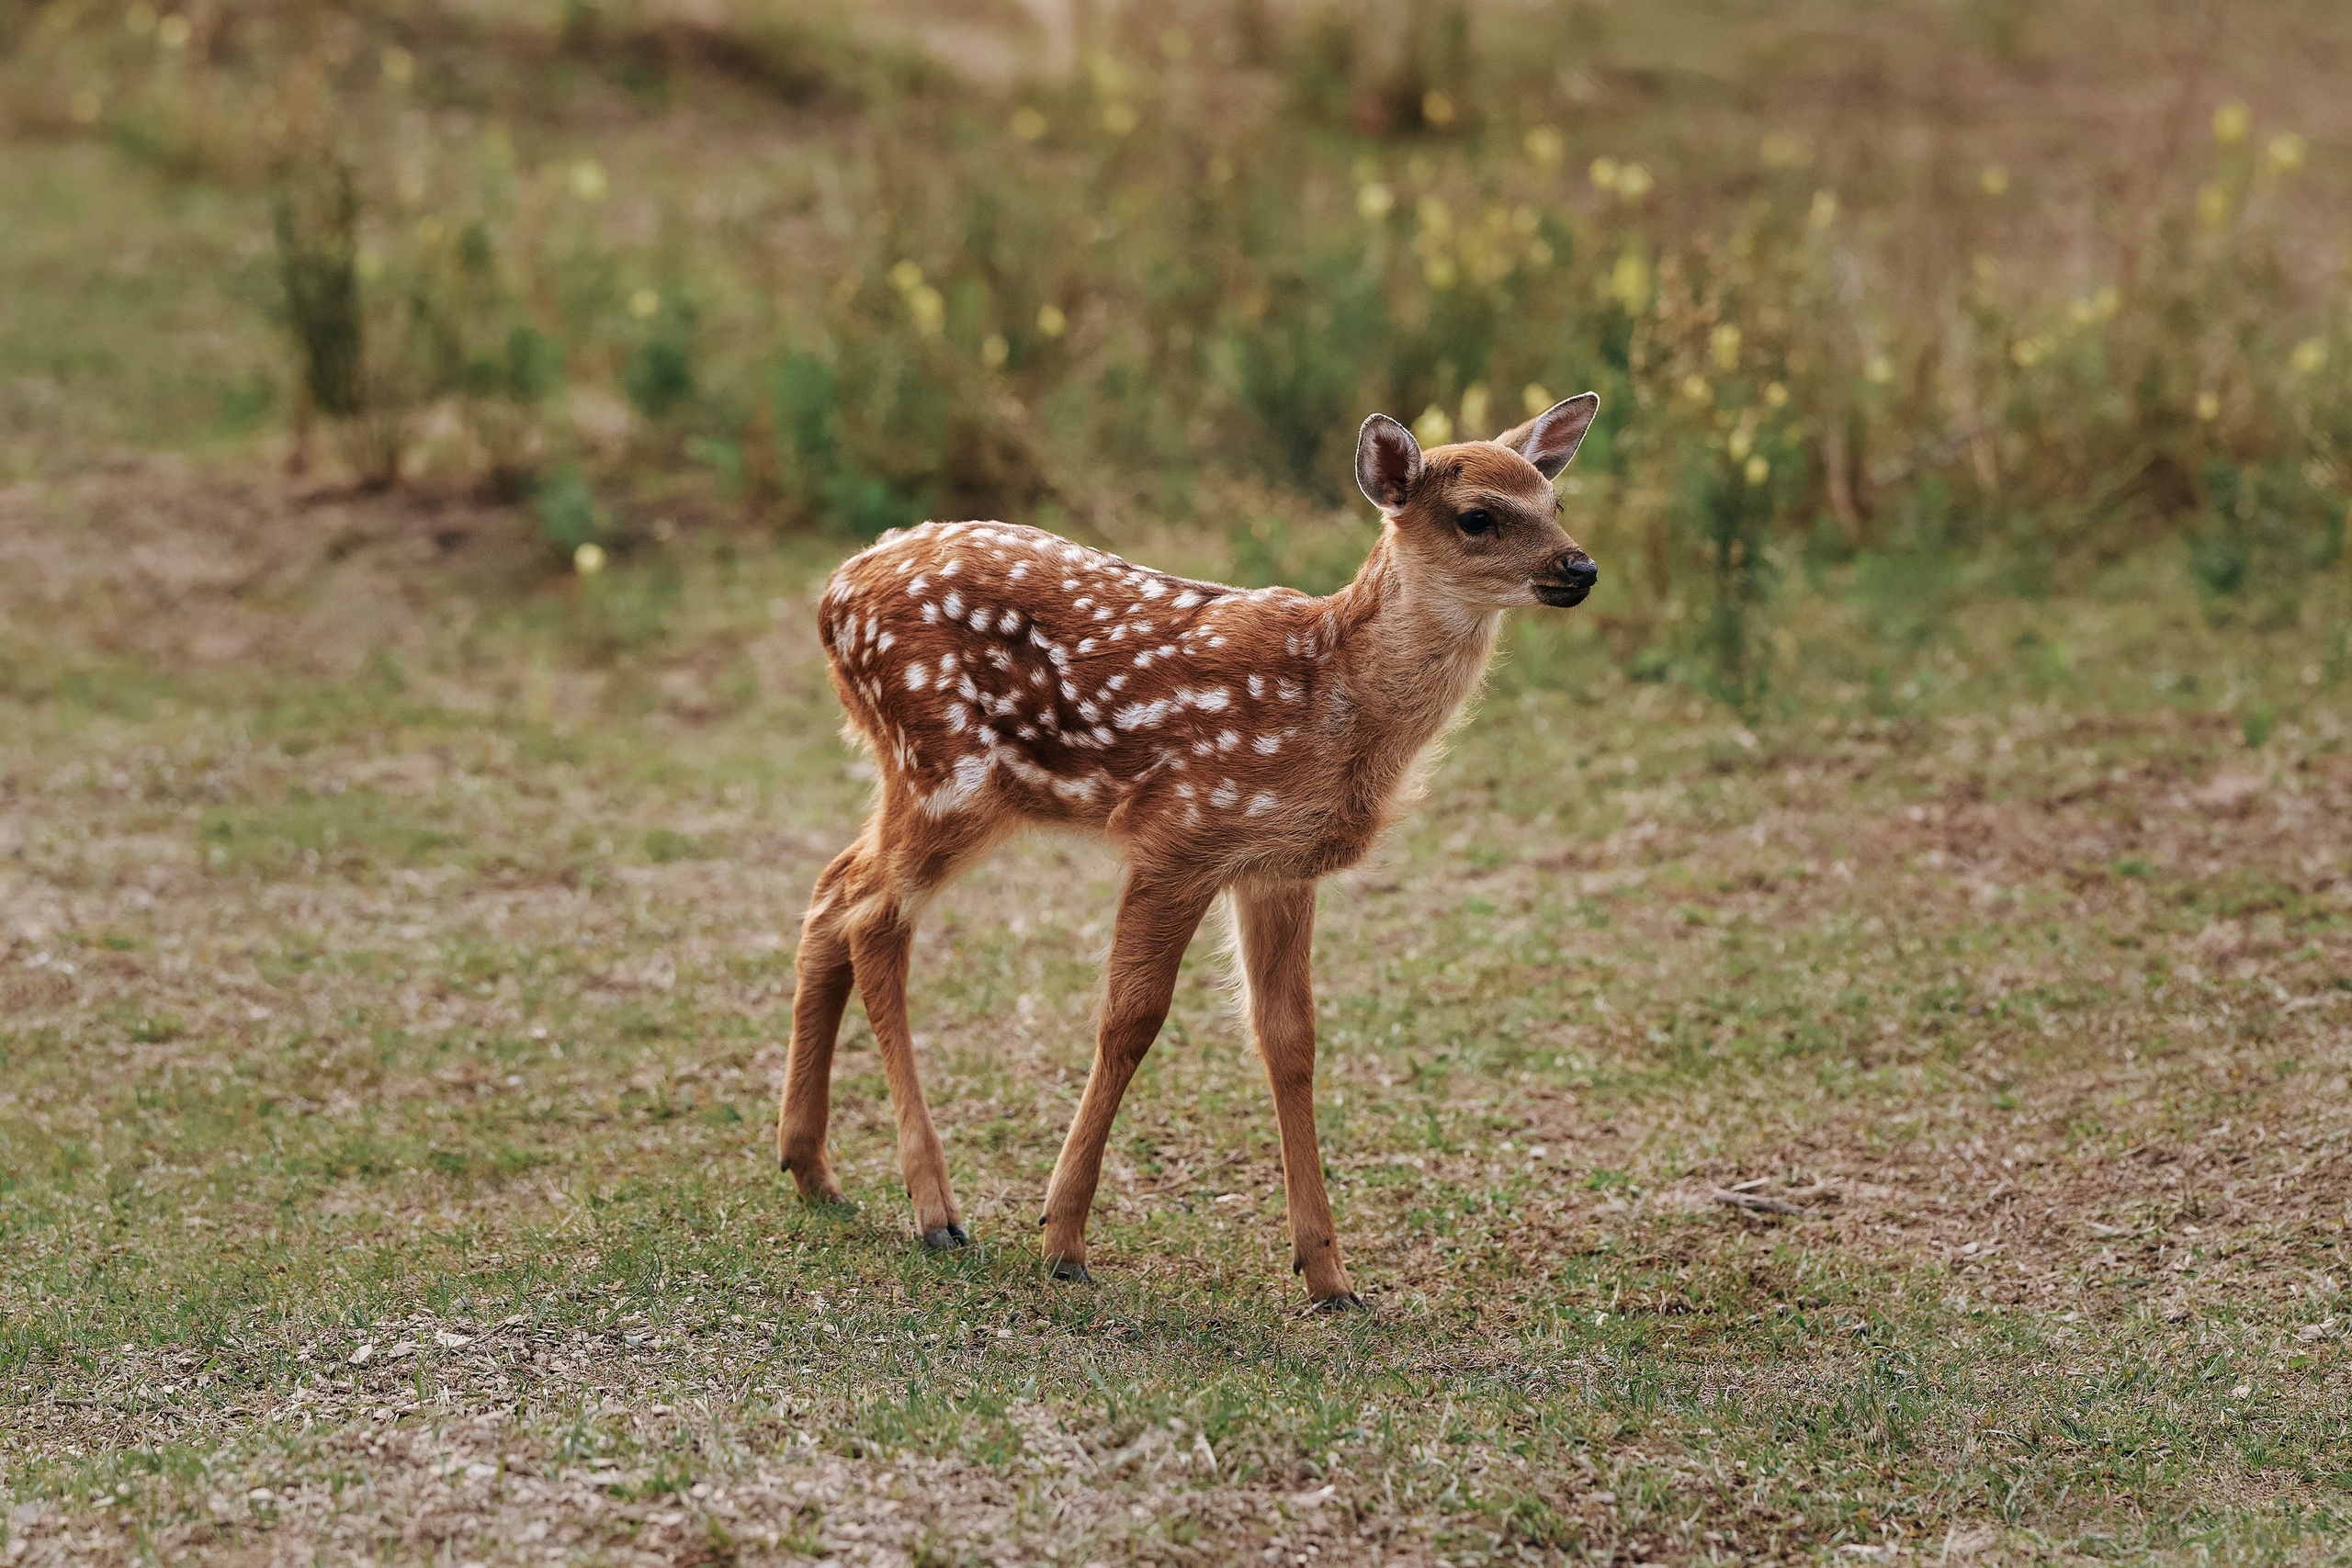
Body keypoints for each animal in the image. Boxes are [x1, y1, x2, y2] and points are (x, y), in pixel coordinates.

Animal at [779, 393, 1602, 1309]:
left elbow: (1289, 1037)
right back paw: (935, 1210)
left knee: (833, 887)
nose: (1581, 567)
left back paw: (811, 1168)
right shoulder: (1181, 832)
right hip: (946, 770)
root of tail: (833, 593)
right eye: (1477, 517)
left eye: (1555, 500)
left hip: (919, 775)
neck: (1335, 696)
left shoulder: (1278, 866)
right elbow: (1130, 1017)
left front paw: (1328, 1275)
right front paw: (1062, 1240)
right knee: (874, 915)